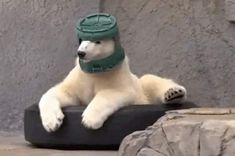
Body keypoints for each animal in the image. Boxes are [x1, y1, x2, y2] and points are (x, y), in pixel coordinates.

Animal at [39, 38, 187, 132]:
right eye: (82, 40)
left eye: (98, 41)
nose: (81, 52)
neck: (96, 70)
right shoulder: (80, 78)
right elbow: (63, 93)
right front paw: (52, 122)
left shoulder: (116, 75)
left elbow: (114, 92)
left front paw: (89, 120)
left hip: (141, 87)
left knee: (149, 79)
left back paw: (174, 93)